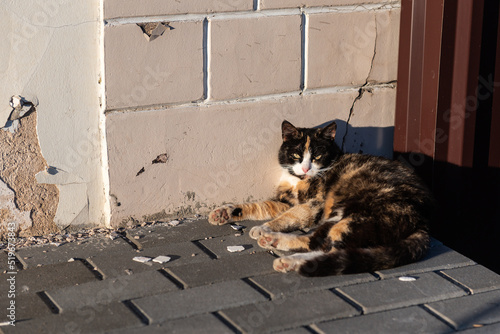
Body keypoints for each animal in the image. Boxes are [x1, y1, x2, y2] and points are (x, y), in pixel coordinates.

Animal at [207, 120, 434, 276]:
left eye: (316, 156)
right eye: (296, 155)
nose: (306, 168)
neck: (298, 180)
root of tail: (423, 221)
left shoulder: (314, 204)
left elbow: (290, 216)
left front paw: (263, 228)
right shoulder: (286, 201)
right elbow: (261, 206)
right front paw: (224, 212)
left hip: (354, 217)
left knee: (325, 247)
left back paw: (288, 257)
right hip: (339, 217)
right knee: (319, 243)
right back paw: (276, 244)